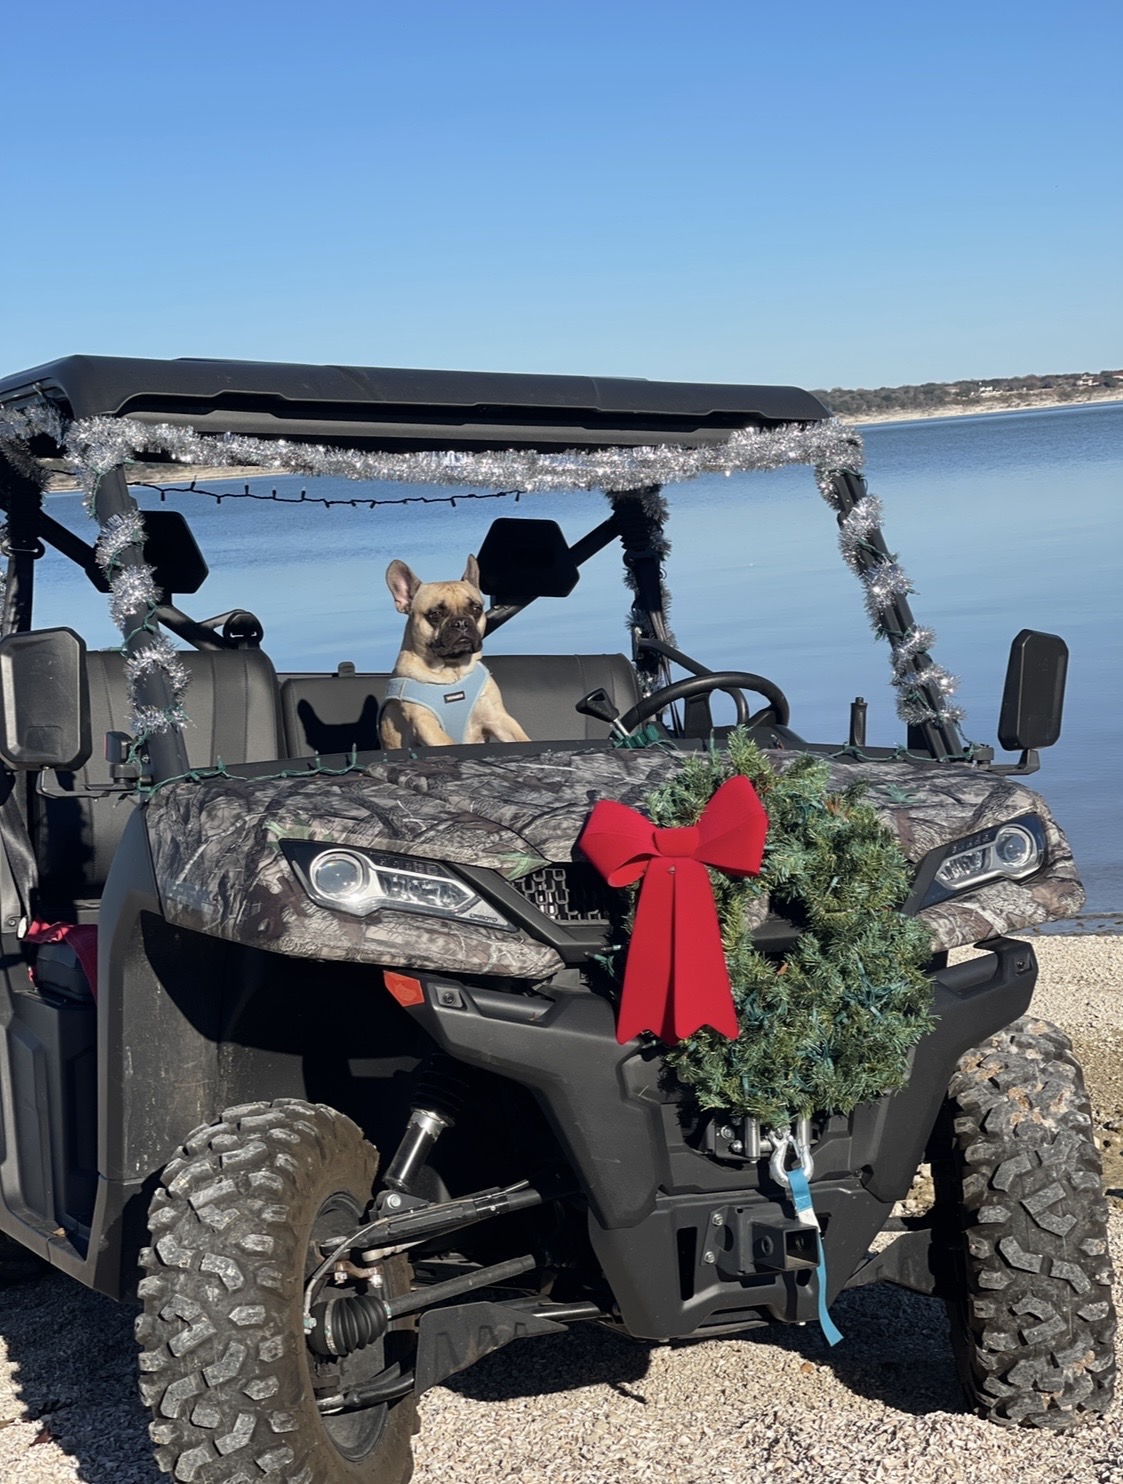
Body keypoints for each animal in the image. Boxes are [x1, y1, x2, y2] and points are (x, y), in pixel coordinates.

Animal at [378, 556, 531, 747]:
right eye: (435, 614)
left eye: (476, 609)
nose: (461, 623)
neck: (451, 671)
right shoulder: (425, 723)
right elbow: (446, 742)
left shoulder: (498, 718)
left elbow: (521, 738)